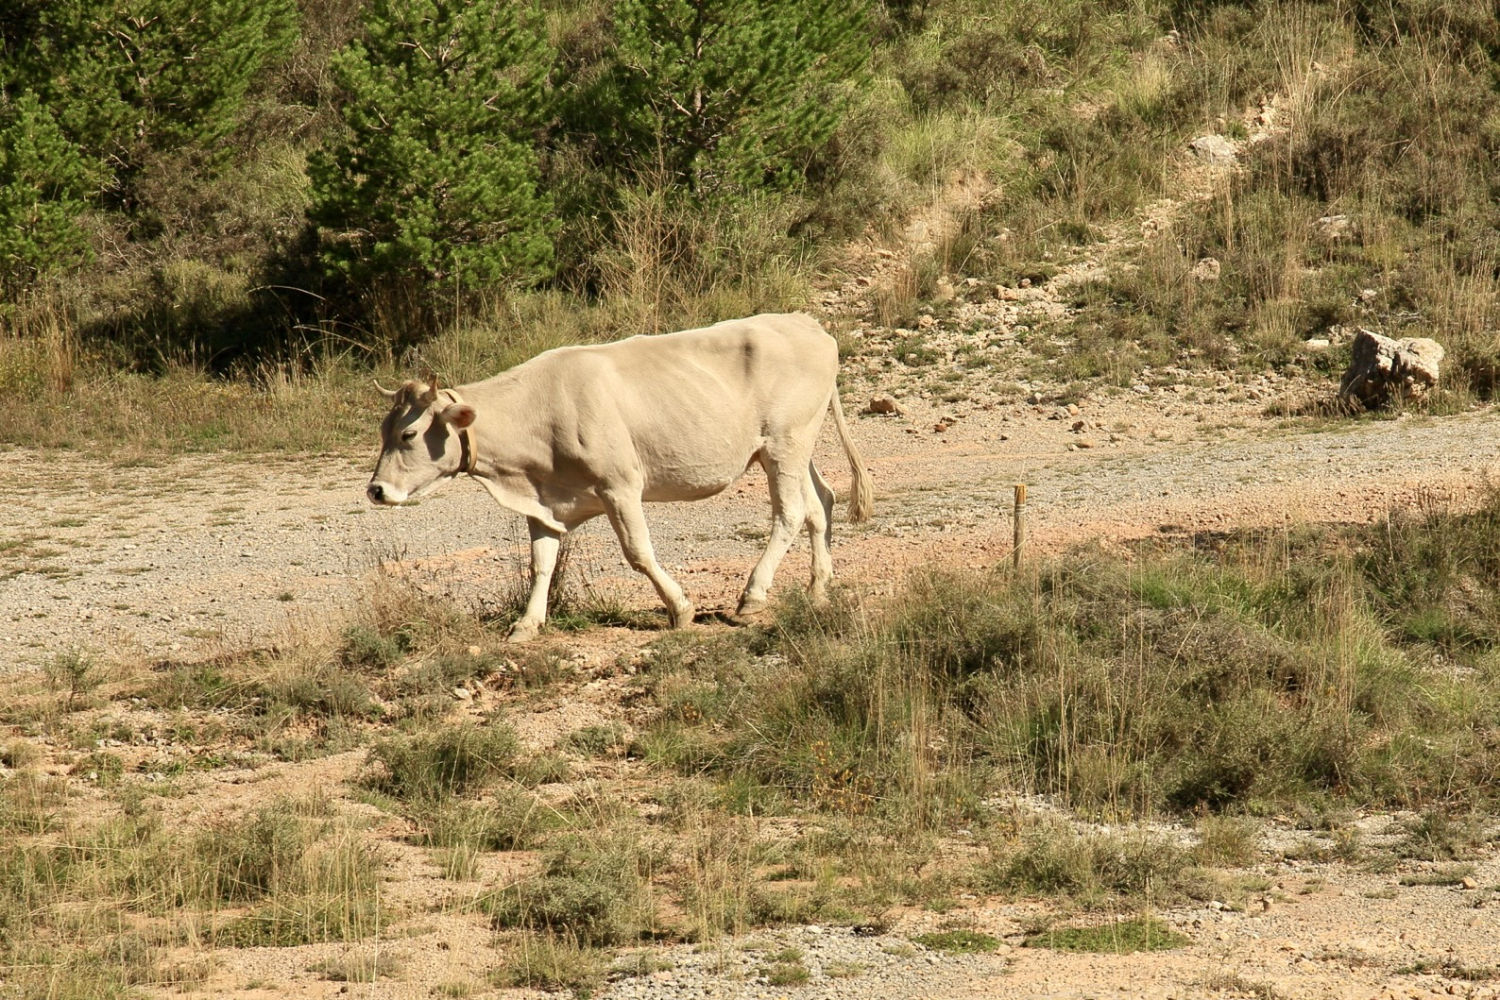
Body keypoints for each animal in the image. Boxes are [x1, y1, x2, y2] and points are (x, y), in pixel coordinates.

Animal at [366, 312, 874, 641]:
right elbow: (541, 563)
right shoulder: (545, 503)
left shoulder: (620, 486)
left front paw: (680, 609)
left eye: (409, 433)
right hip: (790, 448)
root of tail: (806, 323)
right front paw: (527, 624)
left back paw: (752, 597)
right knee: (820, 504)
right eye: (383, 430)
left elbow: (638, 553)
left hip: (784, 444)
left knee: (790, 514)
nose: (375, 490)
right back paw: (818, 587)